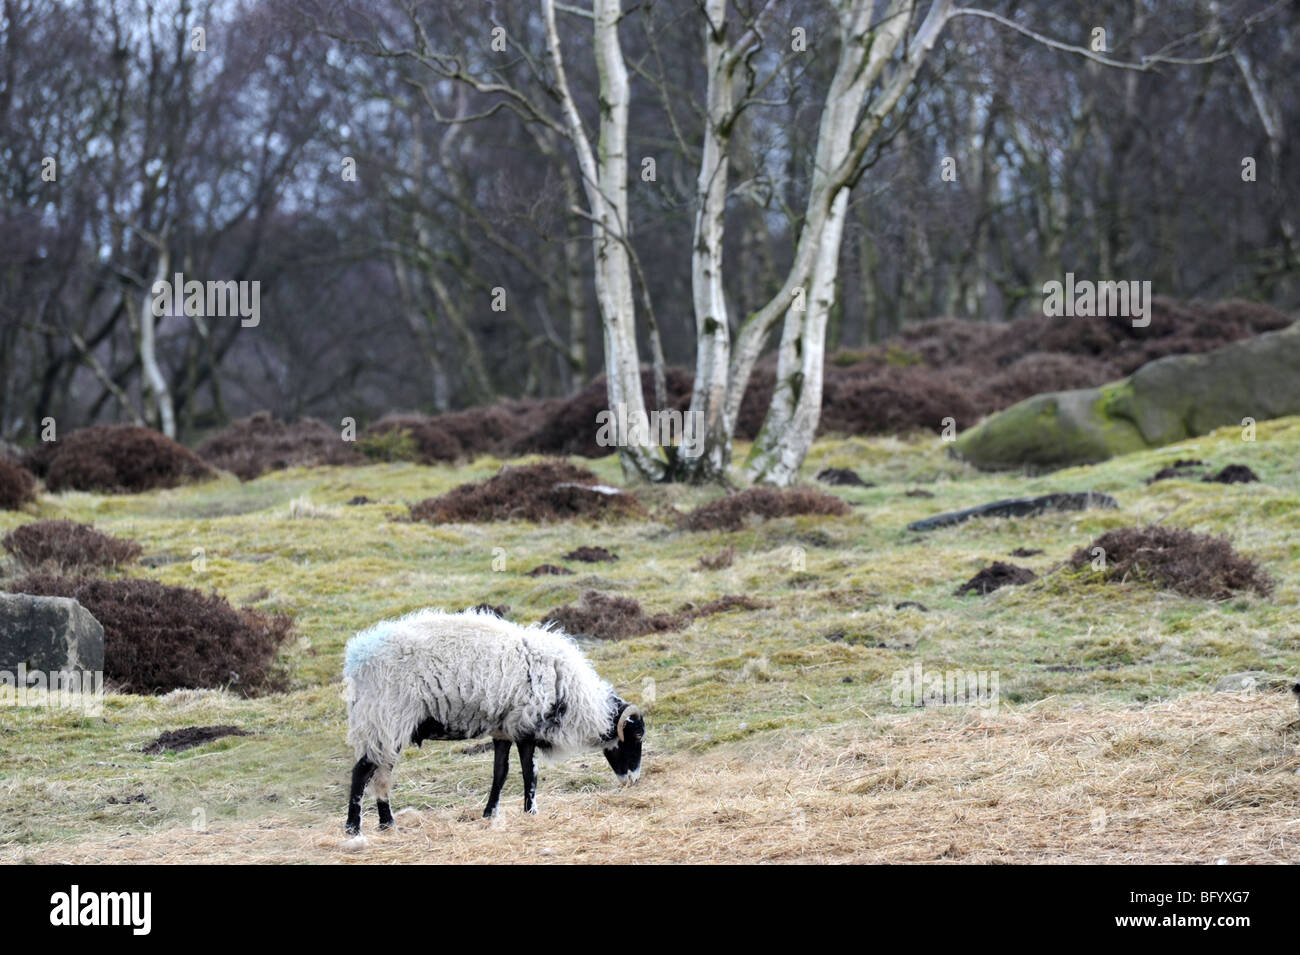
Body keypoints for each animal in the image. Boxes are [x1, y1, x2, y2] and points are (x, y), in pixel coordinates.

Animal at [345, 608, 644, 831]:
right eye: (638, 735)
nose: (633, 780)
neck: (571, 694)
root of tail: (359, 658)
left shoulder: (504, 729)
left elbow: (500, 772)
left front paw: (490, 813)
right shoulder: (525, 726)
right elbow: (530, 774)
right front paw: (531, 812)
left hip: (386, 726)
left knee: (381, 772)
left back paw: (387, 824)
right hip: (385, 718)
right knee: (362, 771)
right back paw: (353, 828)